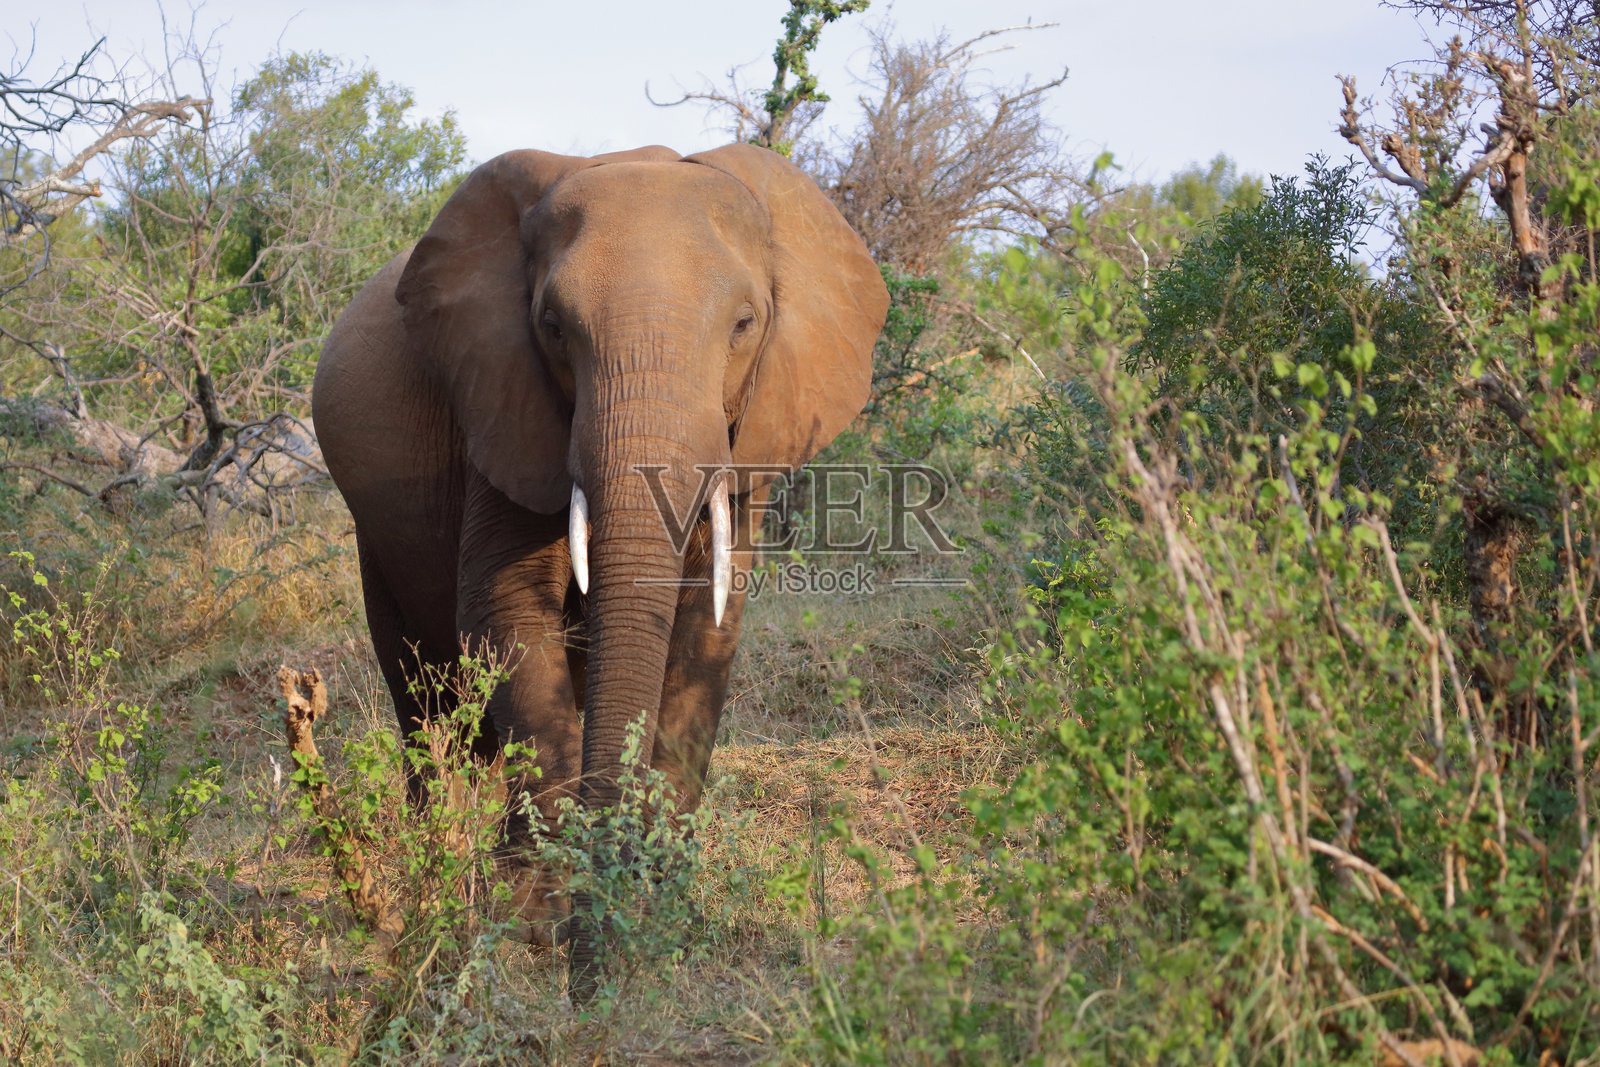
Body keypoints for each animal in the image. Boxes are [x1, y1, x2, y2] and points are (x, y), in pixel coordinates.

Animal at [311, 142, 887, 998]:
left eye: (745, 324)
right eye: (552, 327)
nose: (588, 988)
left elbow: (707, 624)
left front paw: (660, 906)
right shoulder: (503, 406)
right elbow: (505, 609)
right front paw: (544, 918)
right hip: (374, 538)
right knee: (424, 696)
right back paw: (442, 875)